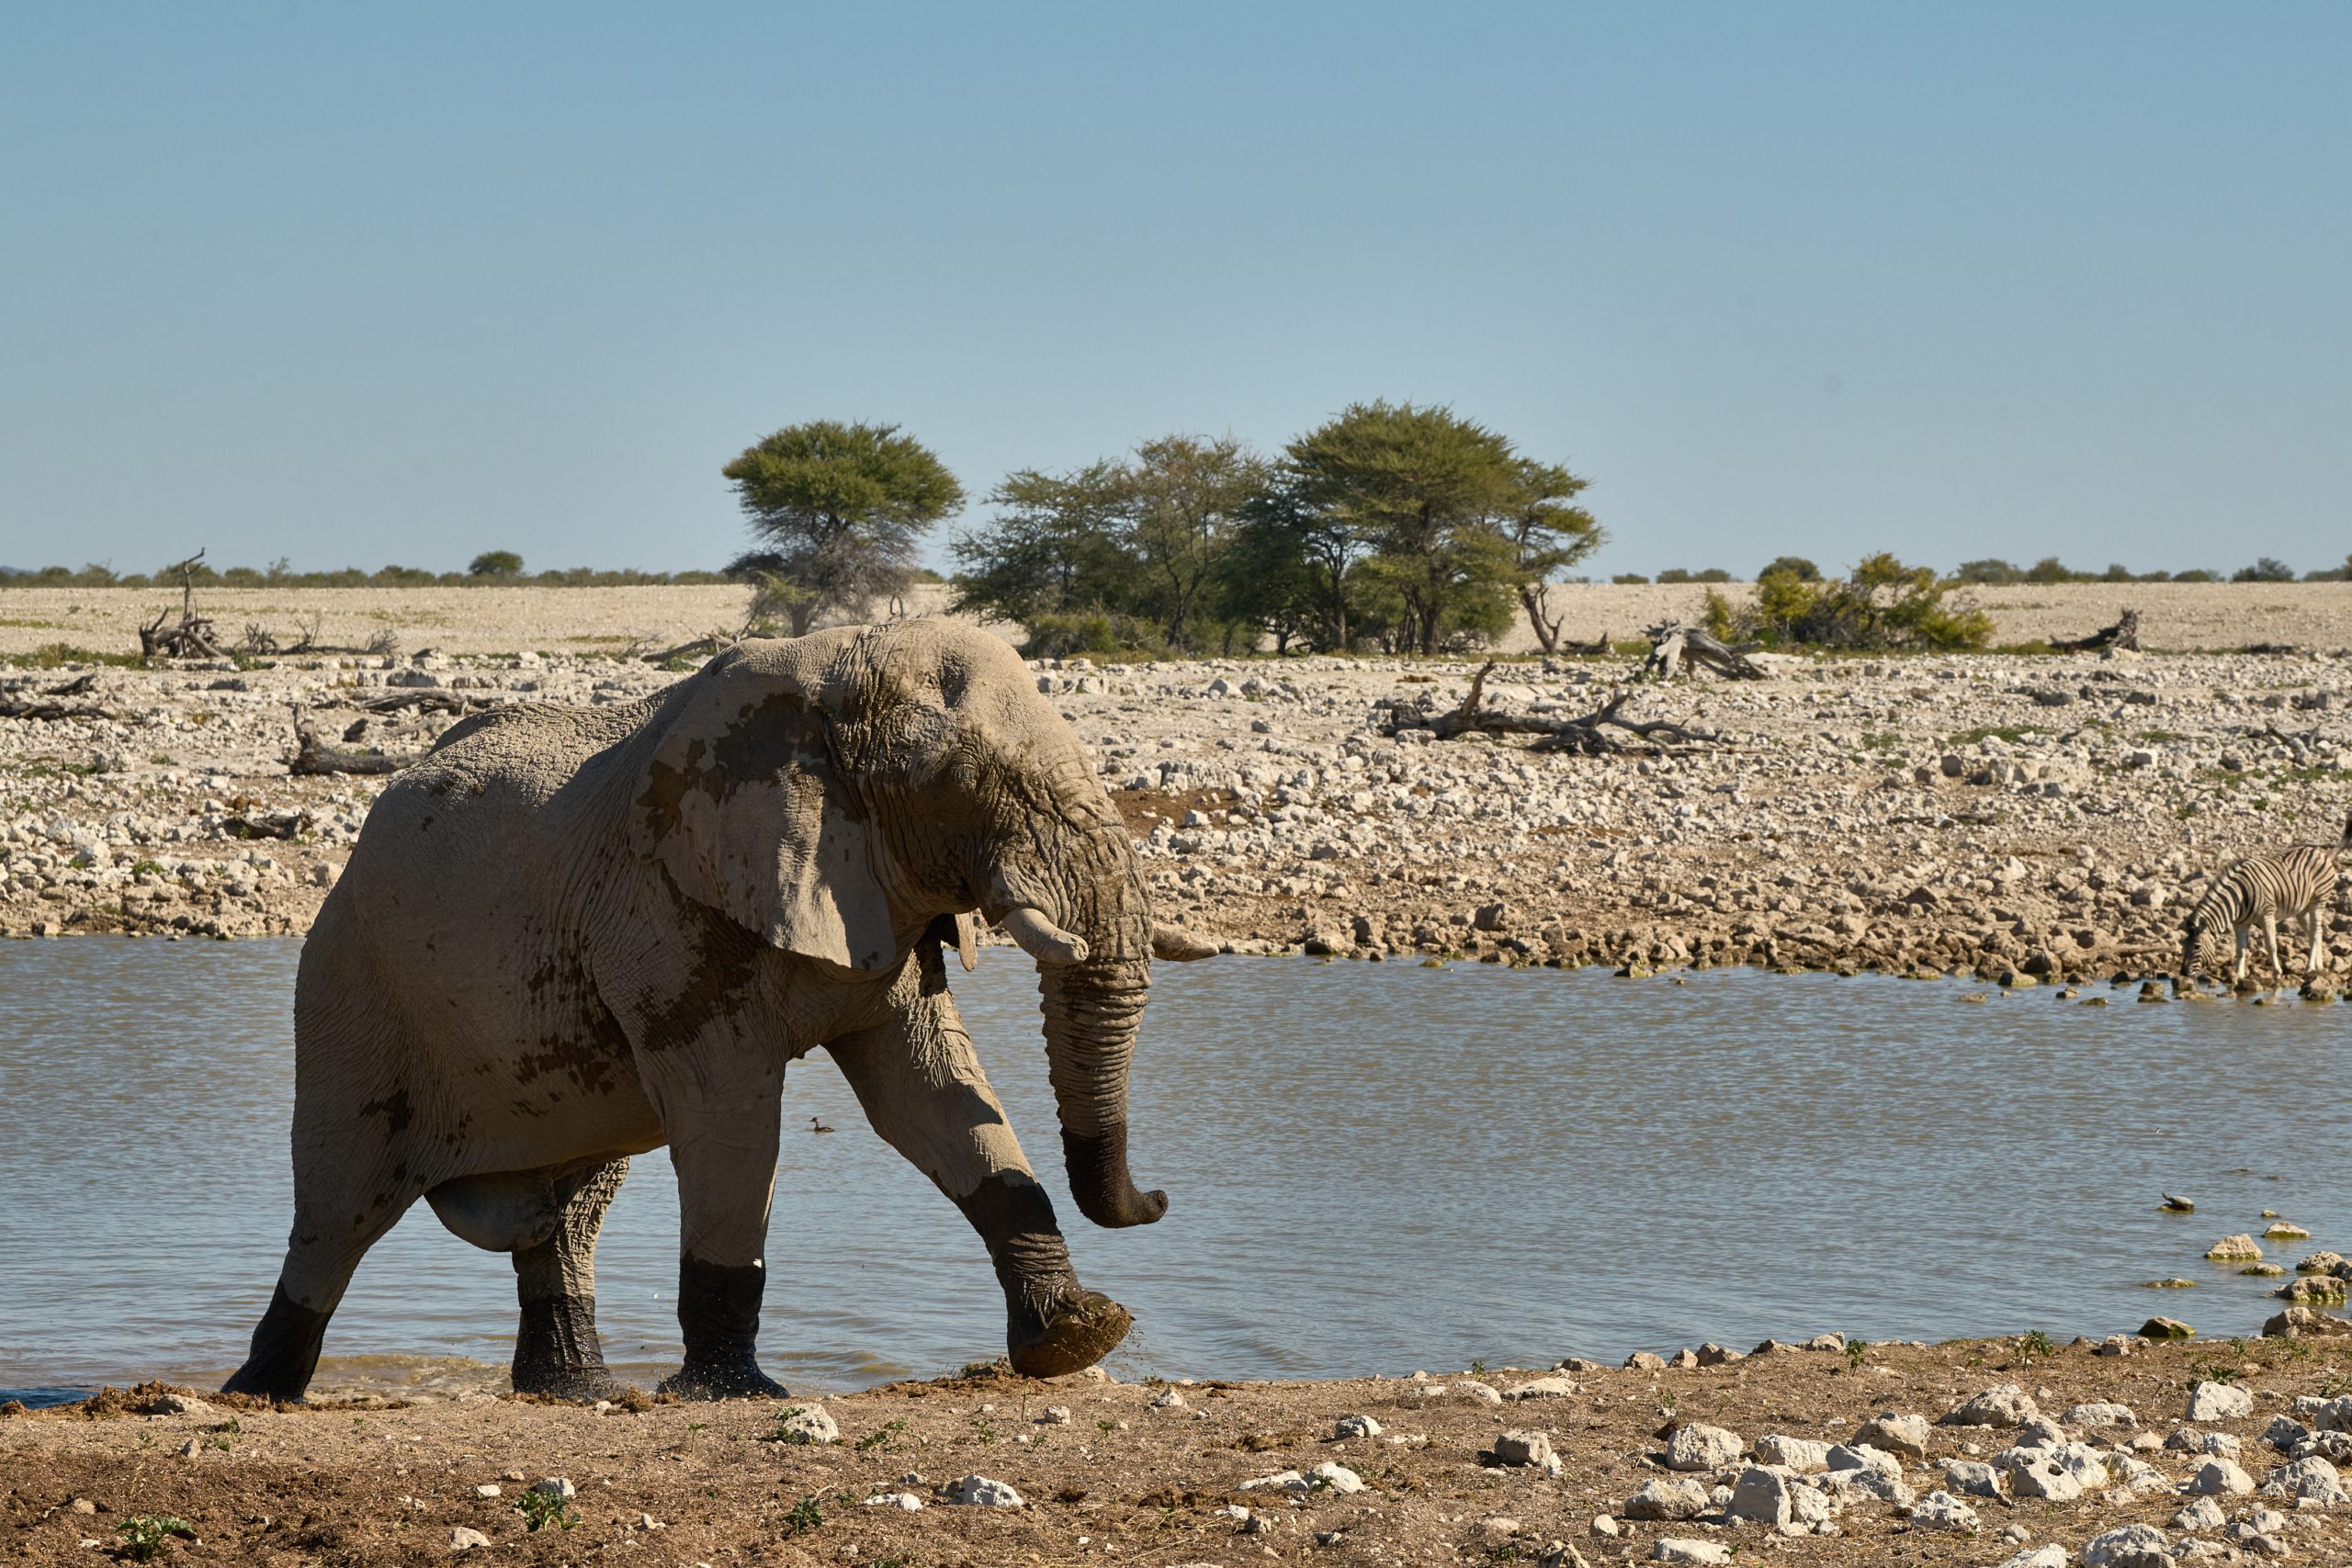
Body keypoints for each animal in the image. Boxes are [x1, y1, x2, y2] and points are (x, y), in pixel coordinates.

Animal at [224, 620, 1213, 1401]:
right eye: (956, 780)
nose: (1162, 1197)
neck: (829, 667)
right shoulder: (668, 910)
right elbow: (734, 1117)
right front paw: (733, 1392)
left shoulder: (870, 895)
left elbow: (927, 1095)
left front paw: (1081, 1335)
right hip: (353, 987)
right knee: (340, 1207)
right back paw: (257, 1392)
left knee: (568, 1212)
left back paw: (577, 1393)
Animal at [2173, 818, 2342, 987]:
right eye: (2183, 944)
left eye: (2197, 947)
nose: (2183, 973)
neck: (2238, 899)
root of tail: (2320, 852)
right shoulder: (2240, 923)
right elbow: (2240, 949)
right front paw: (2238, 975)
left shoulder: (2267, 914)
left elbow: (2271, 945)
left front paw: (2277, 973)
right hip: (2301, 909)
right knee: (2315, 933)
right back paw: (2318, 966)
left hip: (2318, 901)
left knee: (2315, 932)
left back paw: (2309, 968)